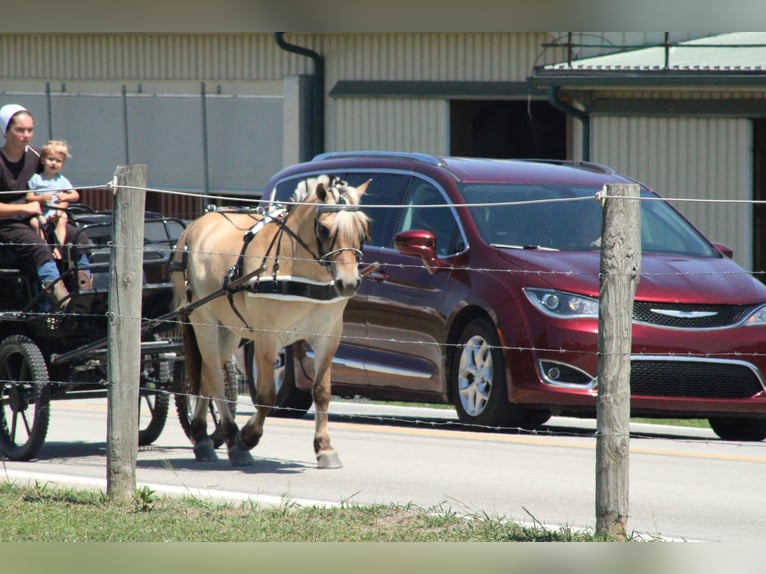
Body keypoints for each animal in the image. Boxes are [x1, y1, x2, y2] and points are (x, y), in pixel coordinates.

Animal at [171, 175, 370, 468]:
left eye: (364, 229)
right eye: (323, 229)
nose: (348, 282)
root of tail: (194, 227)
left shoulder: (328, 337)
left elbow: (321, 392)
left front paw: (325, 448)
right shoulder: (267, 338)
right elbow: (266, 397)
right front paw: (247, 437)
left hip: (228, 330)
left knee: (208, 374)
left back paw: (203, 438)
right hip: (203, 320)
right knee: (215, 379)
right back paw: (230, 438)